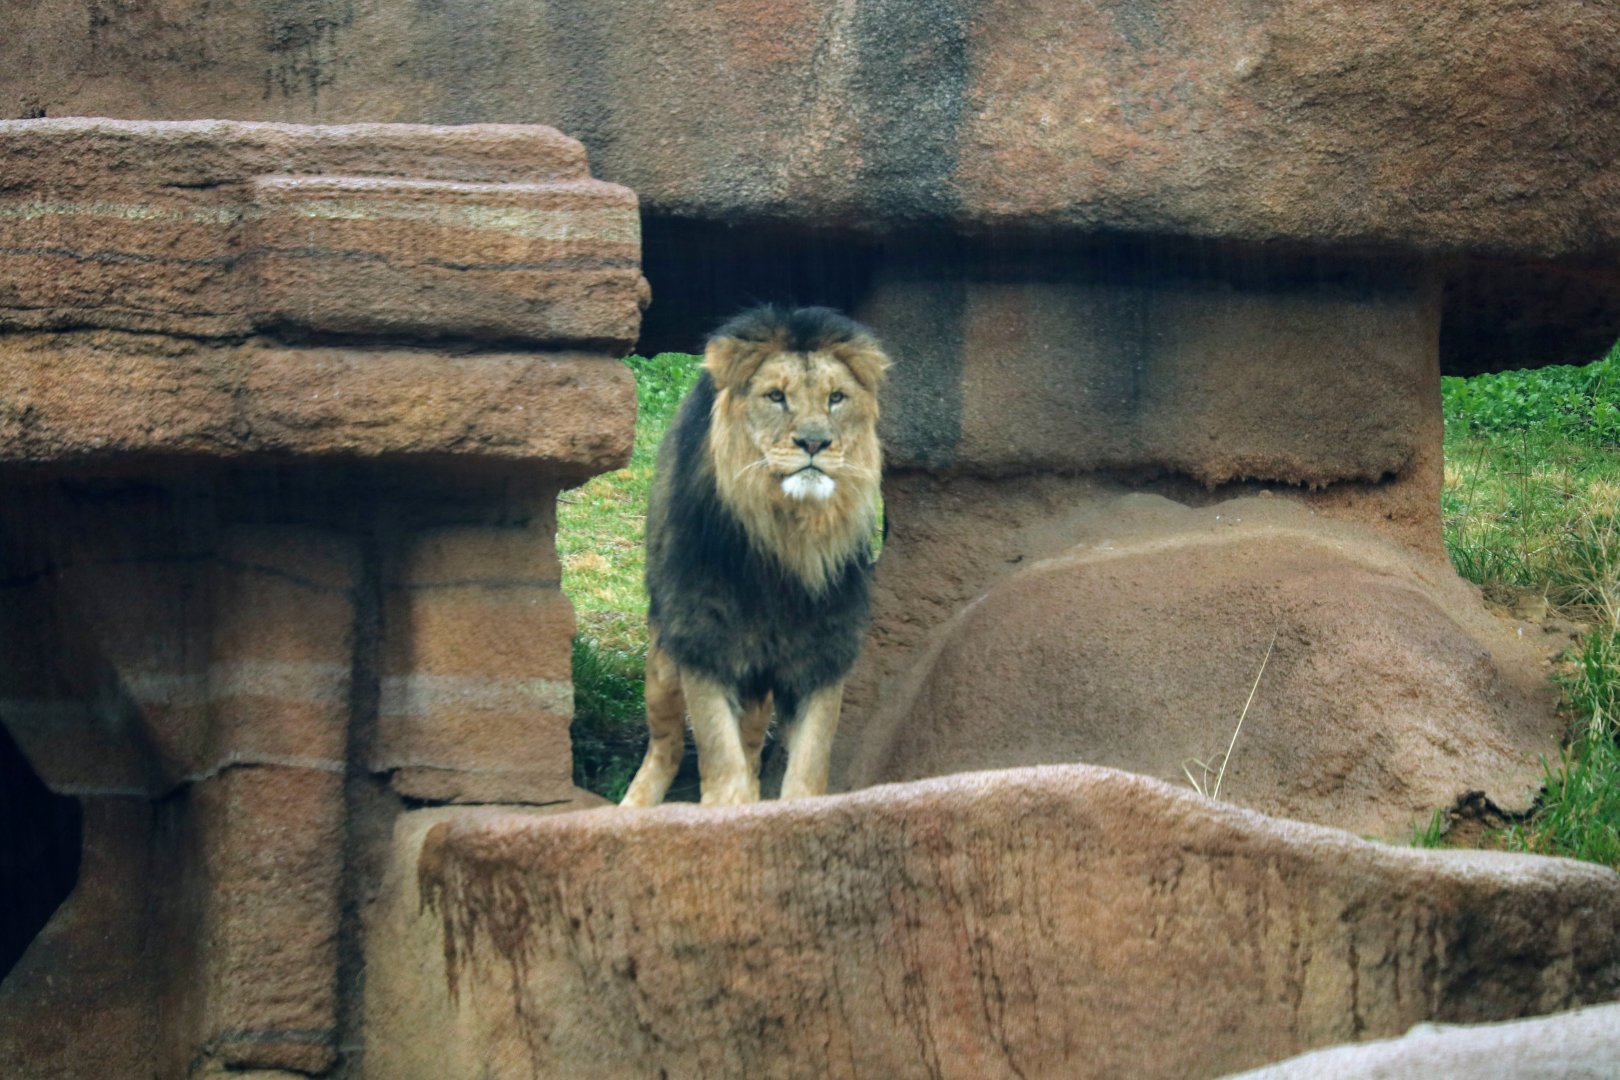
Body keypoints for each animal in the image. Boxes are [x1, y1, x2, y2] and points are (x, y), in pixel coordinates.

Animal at [620, 305, 890, 806]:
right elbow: (718, 758)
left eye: (836, 398)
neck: (785, 540)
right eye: (776, 396)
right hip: (664, 662)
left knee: (748, 742)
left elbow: (807, 766)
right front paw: (727, 808)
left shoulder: (823, 652)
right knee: (665, 746)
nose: (814, 443)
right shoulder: (703, 643)